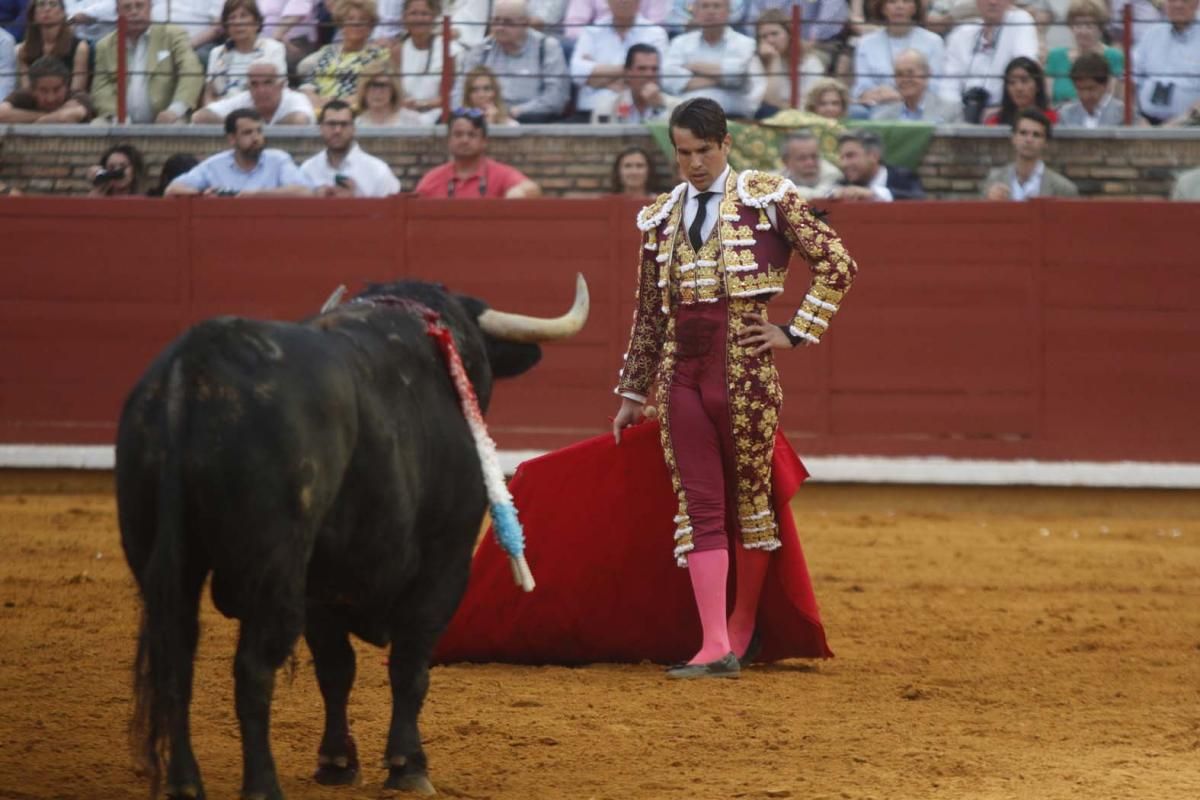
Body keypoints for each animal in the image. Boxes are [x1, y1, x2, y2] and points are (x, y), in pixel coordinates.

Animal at [117, 277, 590, 800]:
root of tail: (193, 371)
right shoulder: (444, 562)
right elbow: (409, 665)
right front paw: (407, 765)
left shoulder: (322, 587)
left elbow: (336, 669)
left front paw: (337, 762)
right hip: (273, 566)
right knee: (253, 669)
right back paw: (262, 784)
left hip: (160, 559)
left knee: (176, 660)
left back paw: (184, 784)